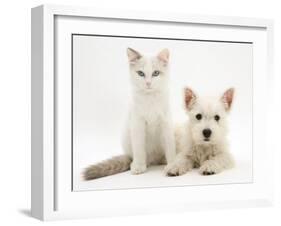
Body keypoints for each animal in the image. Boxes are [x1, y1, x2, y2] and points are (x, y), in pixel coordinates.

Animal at [83, 47, 175, 180]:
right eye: (141, 73)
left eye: (156, 73)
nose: (148, 83)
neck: (150, 98)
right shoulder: (137, 124)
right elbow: (139, 149)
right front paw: (139, 167)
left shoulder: (166, 124)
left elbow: (170, 147)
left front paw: (172, 165)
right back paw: (136, 163)